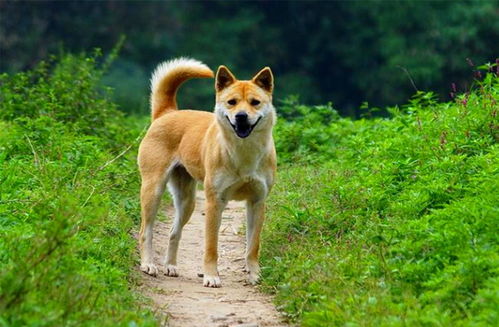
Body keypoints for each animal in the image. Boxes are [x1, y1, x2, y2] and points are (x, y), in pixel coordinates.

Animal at [137, 57, 278, 288]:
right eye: (232, 102)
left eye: (255, 102)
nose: (241, 116)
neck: (243, 152)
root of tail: (168, 113)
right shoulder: (215, 202)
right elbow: (211, 246)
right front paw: (211, 276)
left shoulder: (257, 202)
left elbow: (253, 246)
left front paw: (254, 275)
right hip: (153, 190)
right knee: (145, 231)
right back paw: (148, 264)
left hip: (187, 202)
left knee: (173, 233)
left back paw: (170, 266)